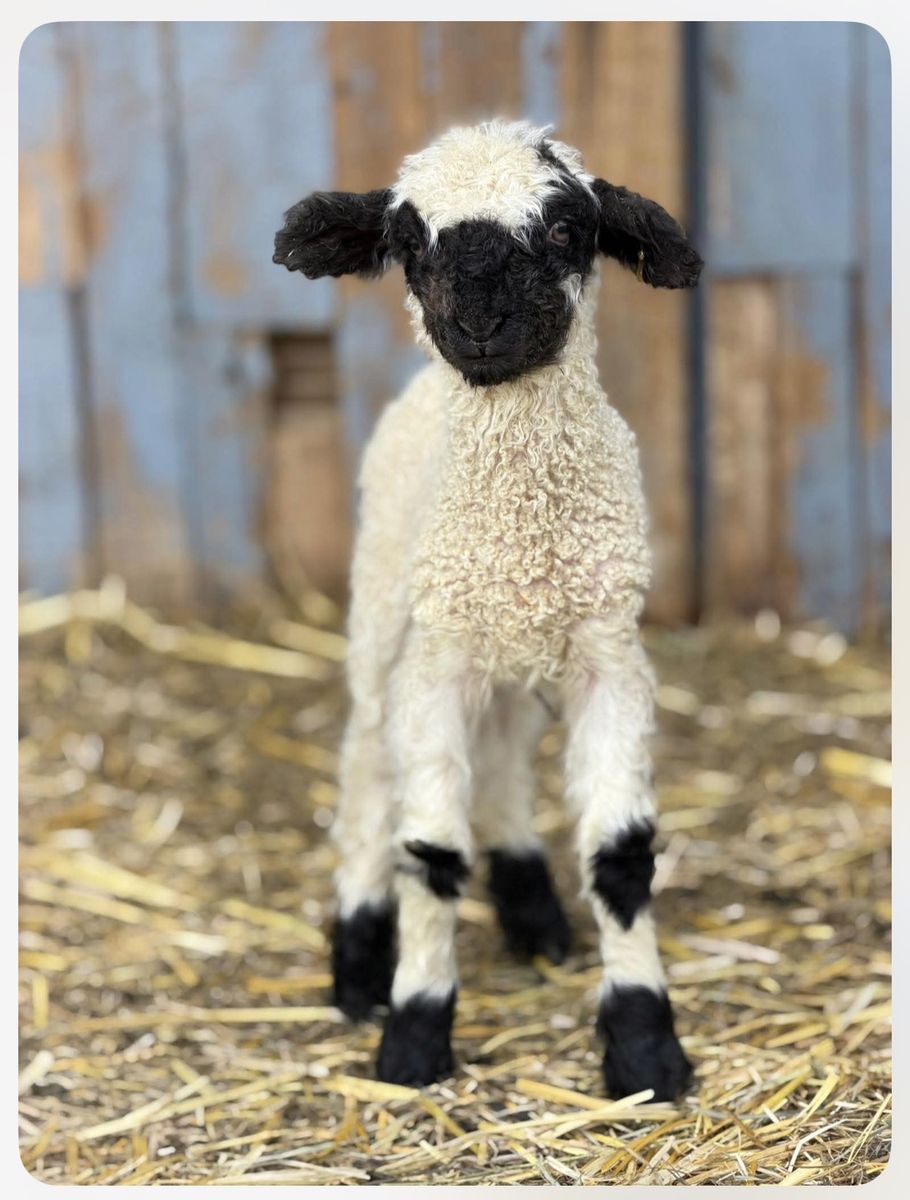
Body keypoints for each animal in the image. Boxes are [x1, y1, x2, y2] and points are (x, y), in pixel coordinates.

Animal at [273, 119, 702, 1098]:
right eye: (408, 243)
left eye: (567, 229)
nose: (477, 325)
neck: (522, 531)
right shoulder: (437, 670)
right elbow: (431, 855)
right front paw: (414, 1038)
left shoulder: (608, 659)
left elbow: (621, 855)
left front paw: (646, 1047)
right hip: (386, 620)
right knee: (366, 774)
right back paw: (358, 963)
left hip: (509, 652)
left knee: (503, 757)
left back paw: (532, 915)